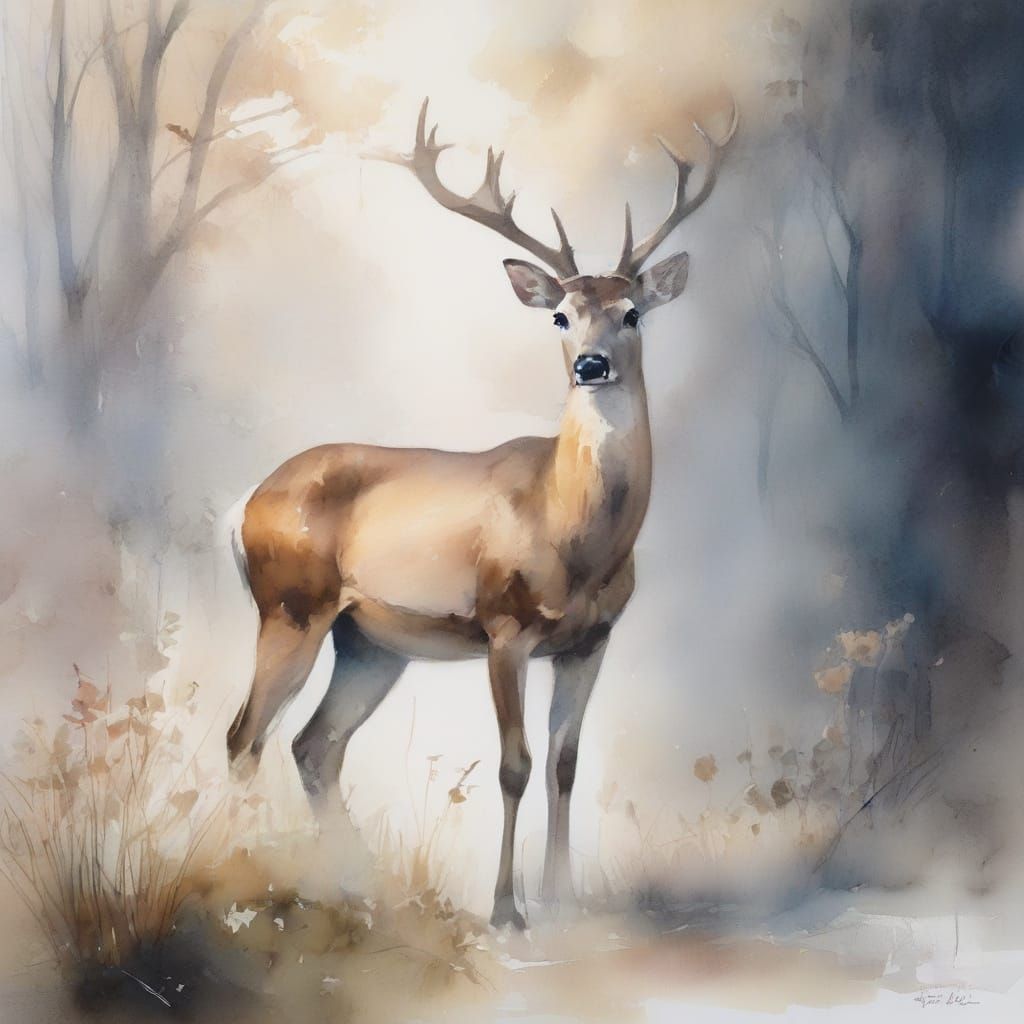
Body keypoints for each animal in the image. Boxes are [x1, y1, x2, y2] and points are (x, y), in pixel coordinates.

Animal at [226, 98, 737, 929]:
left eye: (634, 312)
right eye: (560, 315)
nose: (592, 365)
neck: (575, 539)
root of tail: (242, 504)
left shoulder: (591, 639)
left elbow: (566, 763)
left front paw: (565, 898)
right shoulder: (504, 625)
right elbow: (514, 765)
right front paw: (505, 908)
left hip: (370, 643)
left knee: (313, 746)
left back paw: (358, 881)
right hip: (290, 605)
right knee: (246, 736)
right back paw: (257, 875)